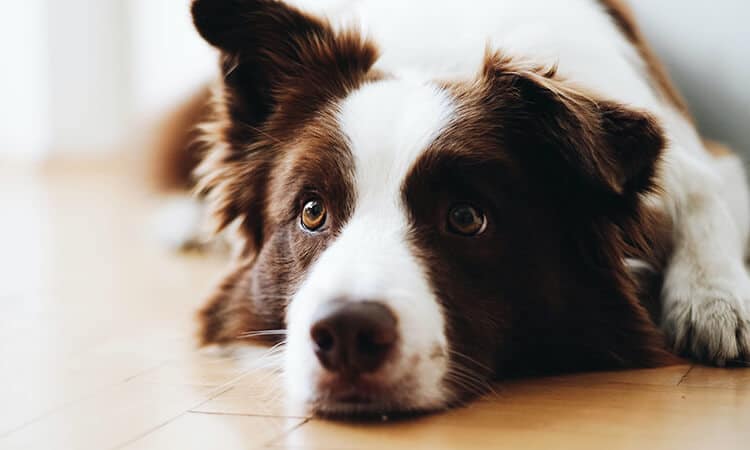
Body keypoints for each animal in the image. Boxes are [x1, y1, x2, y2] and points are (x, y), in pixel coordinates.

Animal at [153, 0, 750, 414]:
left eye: (466, 218)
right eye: (312, 212)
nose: (346, 334)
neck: (436, 60)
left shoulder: (701, 158)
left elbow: (707, 196)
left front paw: (716, 299)